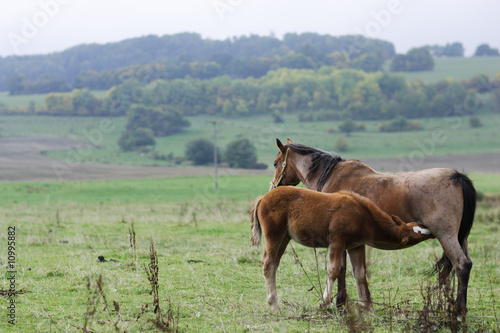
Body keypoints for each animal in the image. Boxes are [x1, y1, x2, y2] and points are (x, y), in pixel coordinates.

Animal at [250, 185, 434, 310]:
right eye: (417, 233)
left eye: (418, 225)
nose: (430, 229)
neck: (363, 215)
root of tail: (263, 198)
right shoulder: (337, 241)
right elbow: (333, 270)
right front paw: (324, 302)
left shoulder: (356, 246)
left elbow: (359, 273)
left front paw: (365, 306)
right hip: (274, 235)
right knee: (267, 263)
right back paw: (274, 305)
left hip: (284, 238)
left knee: (273, 265)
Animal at [270, 137, 476, 314]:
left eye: (275, 163)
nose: (273, 187)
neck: (332, 176)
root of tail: (456, 176)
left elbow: (341, 269)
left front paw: (340, 303)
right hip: (461, 238)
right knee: (465, 265)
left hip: (446, 236)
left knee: (461, 264)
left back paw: (459, 309)